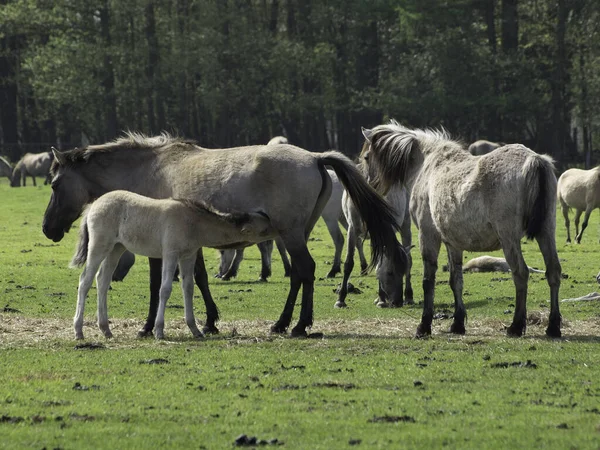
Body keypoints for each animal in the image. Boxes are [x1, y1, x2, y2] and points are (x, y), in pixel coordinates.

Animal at [69, 188, 274, 340]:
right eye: (264, 230)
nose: (278, 231)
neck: (192, 222)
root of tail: (94, 204)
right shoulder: (170, 254)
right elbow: (165, 289)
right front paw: (159, 331)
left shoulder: (188, 256)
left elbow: (188, 288)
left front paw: (195, 329)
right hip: (99, 246)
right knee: (85, 281)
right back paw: (79, 331)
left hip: (116, 249)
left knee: (102, 281)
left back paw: (106, 330)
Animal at [360, 119, 564, 338]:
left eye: (366, 157)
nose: (370, 186)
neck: (427, 165)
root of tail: (535, 160)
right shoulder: (452, 243)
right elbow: (455, 280)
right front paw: (457, 323)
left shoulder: (428, 235)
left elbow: (428, 280)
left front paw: (424, 325)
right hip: (546, 233)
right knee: (553, 272)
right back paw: (553, 327)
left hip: (509, 239)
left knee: (520, 273)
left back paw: (516, 326)